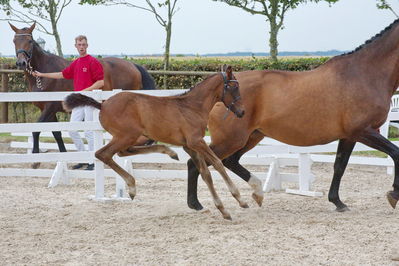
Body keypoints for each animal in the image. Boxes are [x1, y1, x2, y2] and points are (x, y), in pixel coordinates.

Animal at [9, 23, 156, 167]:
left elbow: (36, 130)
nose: (21, 63)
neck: (45, 74)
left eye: (29, 41)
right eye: (14, 40)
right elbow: (56, 133)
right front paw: (64, 158)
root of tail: (133, 65)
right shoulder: (48, 110)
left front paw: (35, 160)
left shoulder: (50, 107)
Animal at [63, 66, 247, 220]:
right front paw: (240, 199)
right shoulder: (197, 141)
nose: (242, 112)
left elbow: (205, 173)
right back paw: (132, 186)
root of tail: (102, 104)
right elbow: (217, 164)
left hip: (132, 136)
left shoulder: (189, 146)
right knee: (103, 153)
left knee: (122, 152)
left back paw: (168, 153)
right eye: (233, 87)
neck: (192, 107)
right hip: (127, 135)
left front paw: (223, 209)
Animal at [188, 18, 399, 212]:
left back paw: (256, 192)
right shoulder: (363, 131)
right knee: (197, 163)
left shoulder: (349, 136)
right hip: (231, 139)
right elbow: (396, 153)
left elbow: (339, 166)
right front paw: (394, 194)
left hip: (251, 137)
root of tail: (218, 94)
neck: (363, 74)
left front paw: (337, 202)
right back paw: (196, 204)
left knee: (228, 161)